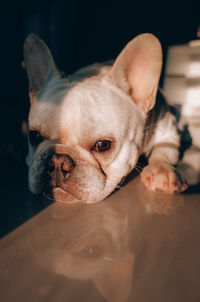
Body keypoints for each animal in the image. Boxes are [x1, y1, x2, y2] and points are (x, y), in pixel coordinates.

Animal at [23, 32, 188, 203]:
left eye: (103, 145)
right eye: (34, 136)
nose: (58, 161)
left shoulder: (168, 132)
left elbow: (164, 149)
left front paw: (161, 170)